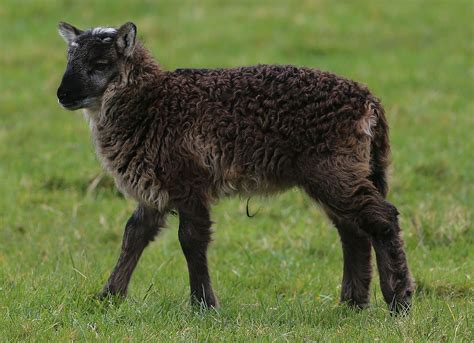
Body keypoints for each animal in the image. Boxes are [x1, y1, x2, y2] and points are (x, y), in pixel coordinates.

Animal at [56, 21, 414, 314]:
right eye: (69, 61)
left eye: (101, 64)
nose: (62, 95)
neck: (150, 103)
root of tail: (369, 102)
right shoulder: (157, 186)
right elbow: (134, 234)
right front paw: (108, 296)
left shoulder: (187, 180)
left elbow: (190, 239)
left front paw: (203, 305)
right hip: (341, 170)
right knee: (352, 230)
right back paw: (353, 303)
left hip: (334, 169)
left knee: (381, 218)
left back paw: (399, 300)